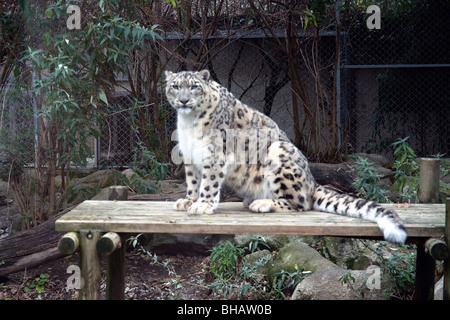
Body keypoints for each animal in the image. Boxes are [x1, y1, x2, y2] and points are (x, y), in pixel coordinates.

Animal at [164, 70, 408, 245]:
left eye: (194, 87)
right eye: (175, 87)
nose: (184, 100)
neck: (188, 122)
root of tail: (312, 182)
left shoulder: (215, 153)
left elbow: (209, 182)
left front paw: (203, 205)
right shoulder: (189, 154)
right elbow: (193, 181)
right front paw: (188, 200)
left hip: (278, 154)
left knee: (300, 203)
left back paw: (261, 203)